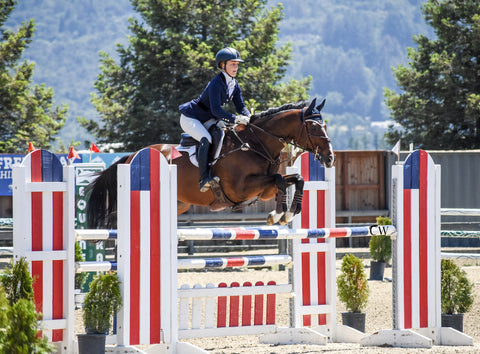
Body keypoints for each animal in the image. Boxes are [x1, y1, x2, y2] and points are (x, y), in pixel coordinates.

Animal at [85, 98, 334, 228]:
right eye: (313, 127)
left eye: (325, 125)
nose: (330, 157)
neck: (256, 142)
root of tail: (132, 155)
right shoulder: (241, 189)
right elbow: (281, 179)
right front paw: (280, 215)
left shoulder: (263, 190)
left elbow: (295, 179)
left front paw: (287, 214)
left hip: (179, 204)